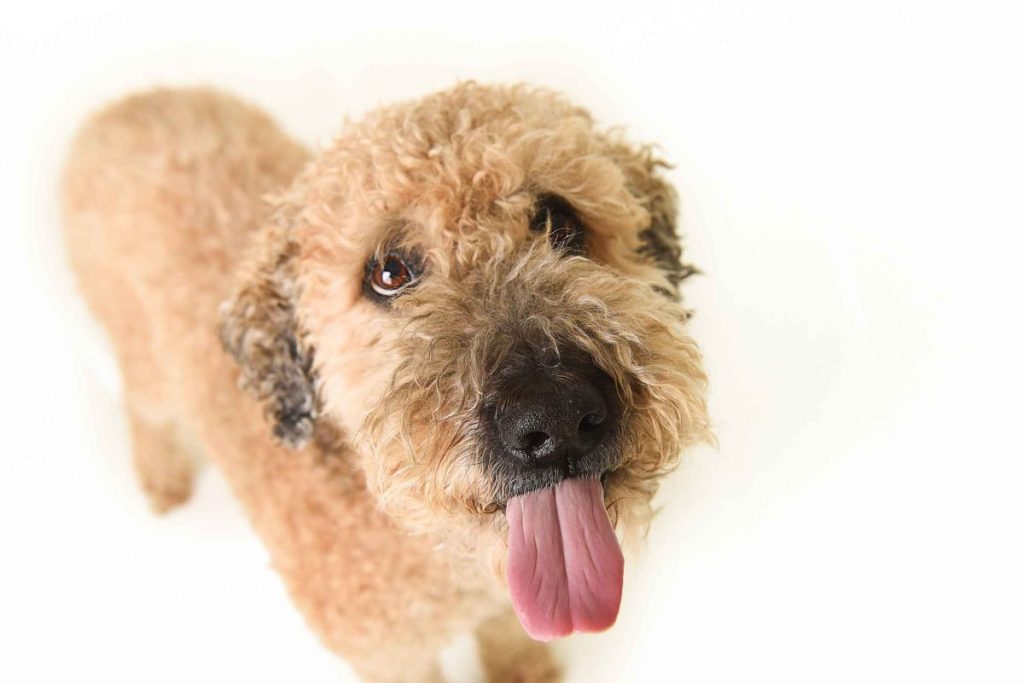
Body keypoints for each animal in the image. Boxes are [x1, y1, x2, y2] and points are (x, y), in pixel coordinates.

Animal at [61, 82, 712, 679]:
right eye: (388, 272)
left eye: (559, 219)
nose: (557, 417)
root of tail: (126, 104)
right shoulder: (392, 659)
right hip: (144, 363)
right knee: (145, 413)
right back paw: (163, 484)